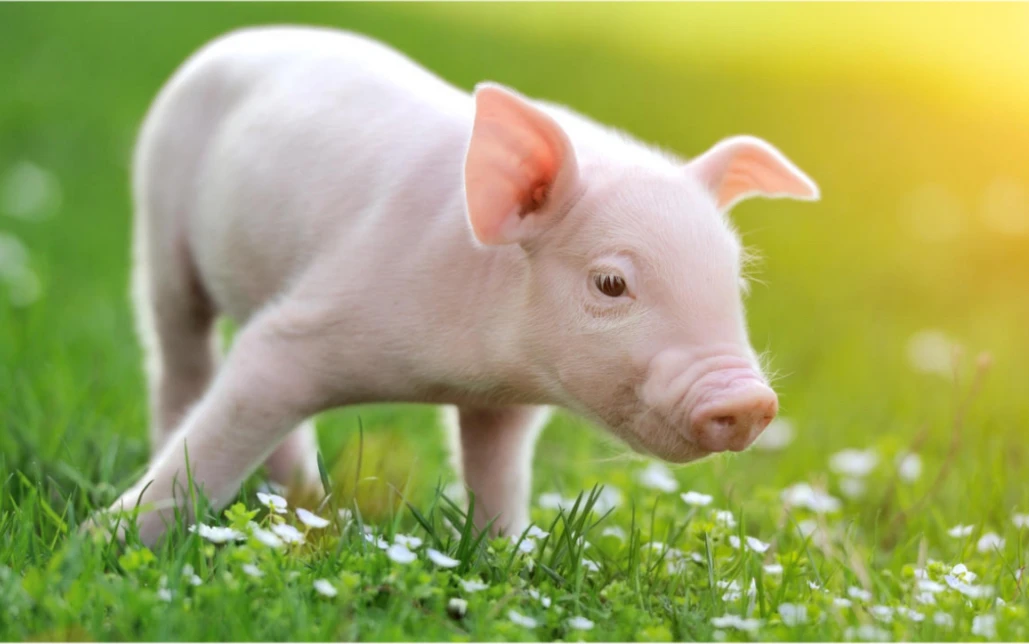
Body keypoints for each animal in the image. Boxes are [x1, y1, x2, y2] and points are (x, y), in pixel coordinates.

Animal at [106, 26, 818, 545]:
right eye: (612, 283)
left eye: (734, 281)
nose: (749, 398)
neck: (462, 371)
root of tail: (235, 38)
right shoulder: (310, 321)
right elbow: (225, 424)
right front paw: (104, 546)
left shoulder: (504, 405)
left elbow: (496, 472)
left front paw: (501, 556)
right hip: (158, 223)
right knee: (180, 353)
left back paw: (307, 502)